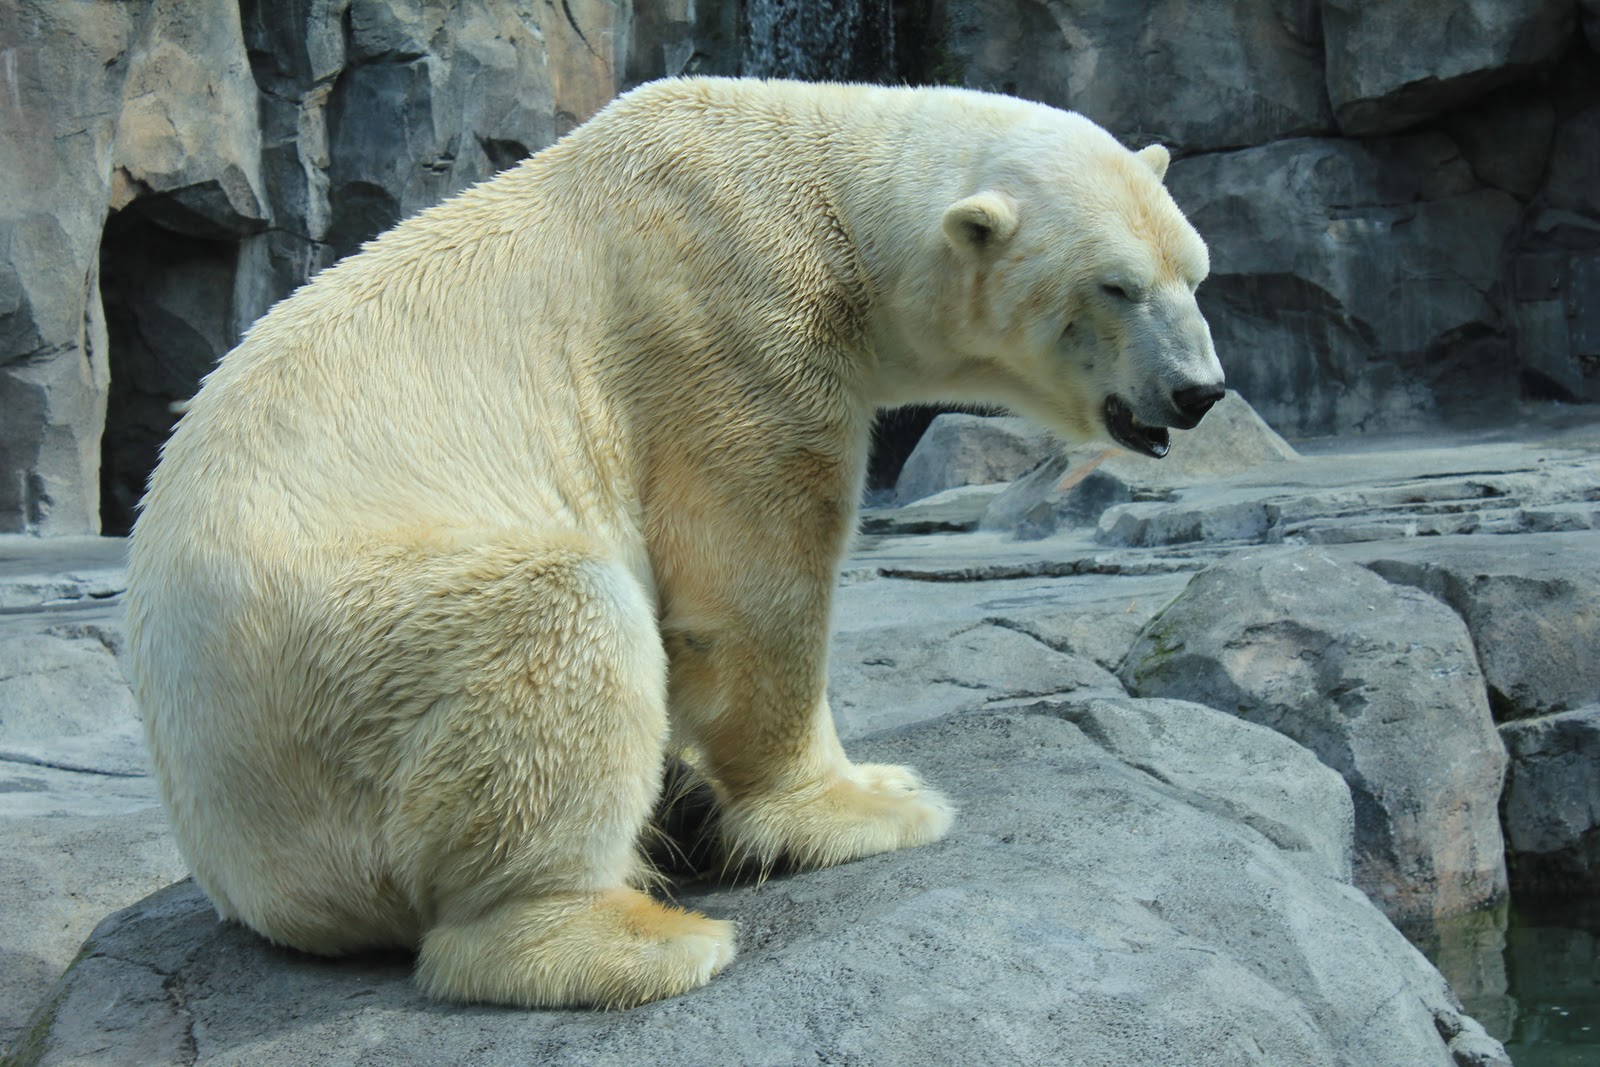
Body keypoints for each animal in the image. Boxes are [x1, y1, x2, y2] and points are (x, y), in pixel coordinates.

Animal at [127, 76, 1225, 1010]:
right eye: (1116, 286)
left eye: (1195, 272)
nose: (1199, 390)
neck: (824, 190)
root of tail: (232, 856)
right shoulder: (728, 321)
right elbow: (753, 589)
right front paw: (869, 799)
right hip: (336, 664)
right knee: (552, 626)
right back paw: (633, 935)